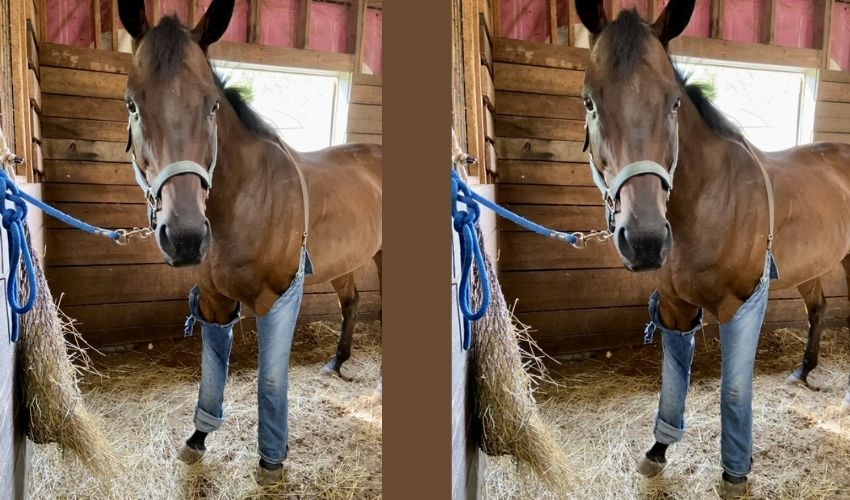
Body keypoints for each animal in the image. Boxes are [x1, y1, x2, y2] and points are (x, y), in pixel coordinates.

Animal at [116, 0, 382, 485]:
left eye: (212, 106)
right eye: (132, 104)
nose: (185, 237)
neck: (245, 197)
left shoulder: (274, 299)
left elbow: (270, 380)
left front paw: (271, 458)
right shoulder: (214, 299)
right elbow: (212, 374)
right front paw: (197, 438)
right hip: (346, 262)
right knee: (351, 302)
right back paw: (336, 363)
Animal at [575, 0, 850, 496]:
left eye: (673, 102)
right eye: (590, 100)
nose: (645, 240)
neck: (708, 198)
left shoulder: (739, 305)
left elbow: (734, 390)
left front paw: (735, 471)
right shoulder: (674, 305)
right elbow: (673, 383)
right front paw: (658, 450)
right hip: (813, 268)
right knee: (818, 309)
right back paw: (803, 372)